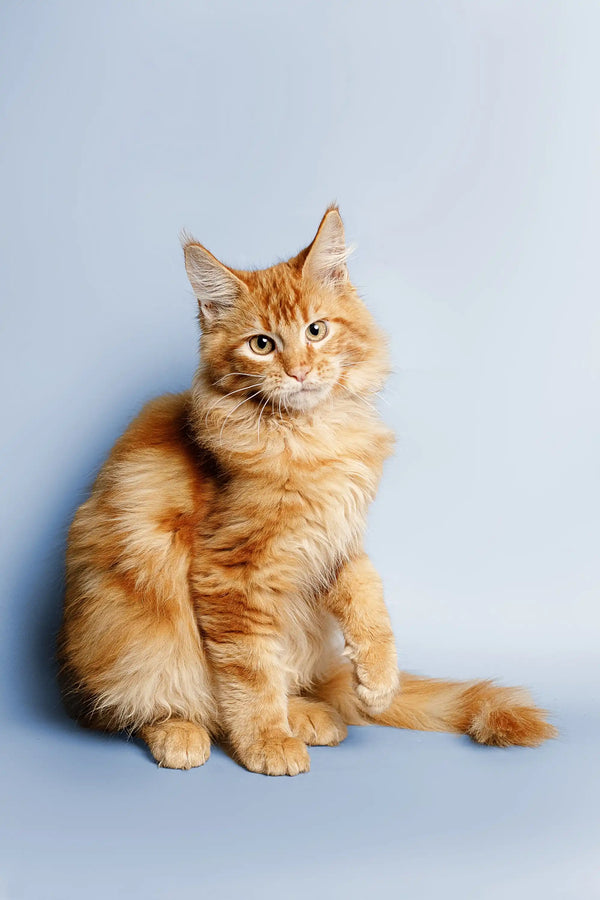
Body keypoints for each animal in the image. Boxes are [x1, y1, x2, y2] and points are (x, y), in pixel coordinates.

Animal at [58, 207, 556, 768]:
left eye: (316, 330)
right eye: (262, 344)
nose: (298, 371)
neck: (310, 436)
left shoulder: (335, 535)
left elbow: (367, 595)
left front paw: (378, 679)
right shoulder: (229, 572)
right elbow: (251, 674)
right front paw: (267, 741)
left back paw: (308, 714)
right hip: (131, 638)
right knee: (165, 703)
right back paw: (184, 731)